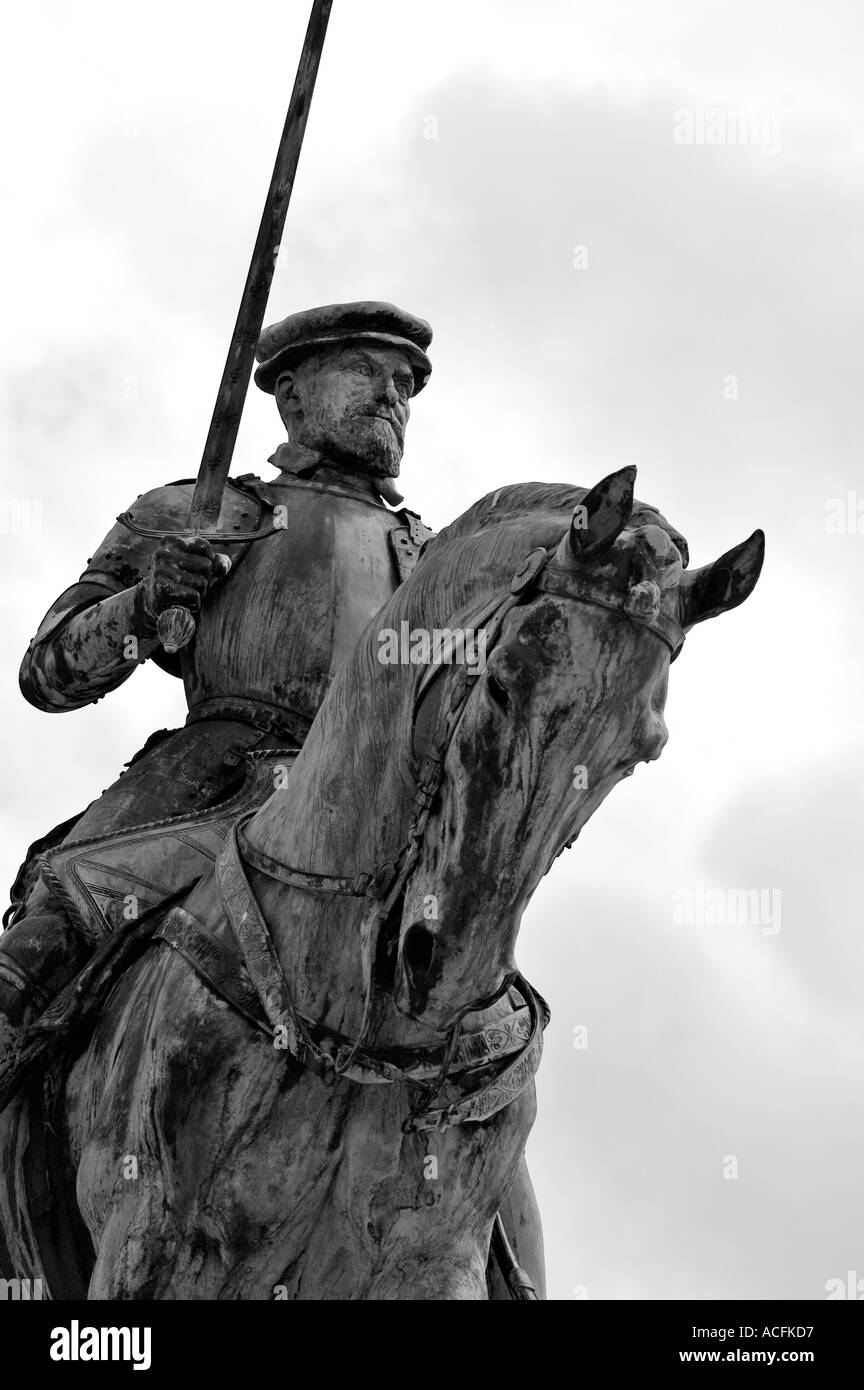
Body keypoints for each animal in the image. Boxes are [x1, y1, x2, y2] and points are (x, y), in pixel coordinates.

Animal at [0, 469, 761, 1301]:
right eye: (502, 685)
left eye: (640, 754)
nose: (447, 974)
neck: (360, 1026)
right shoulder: (155, 1243)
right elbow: (62, 639)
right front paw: (173, 575)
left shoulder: (430, 1264)